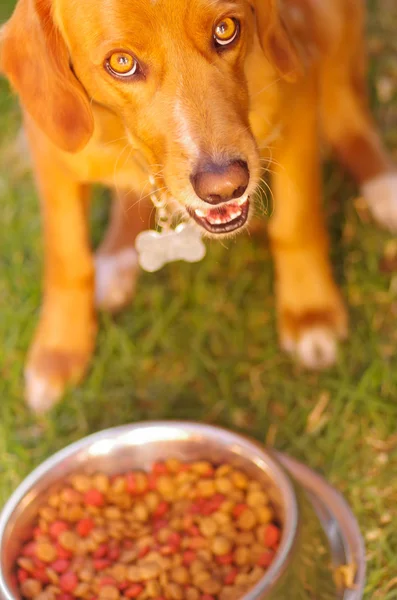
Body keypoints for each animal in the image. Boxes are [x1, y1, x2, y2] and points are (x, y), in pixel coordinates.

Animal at [0, 0, 396, 412]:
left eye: (226, 29)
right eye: (121, 62)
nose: (225, 188)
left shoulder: (297, 96)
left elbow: (295, 225)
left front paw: (309, 314)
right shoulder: (50, 150)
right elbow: (68, 261)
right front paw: (58, 355)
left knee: (345, 101)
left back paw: (381, 181)